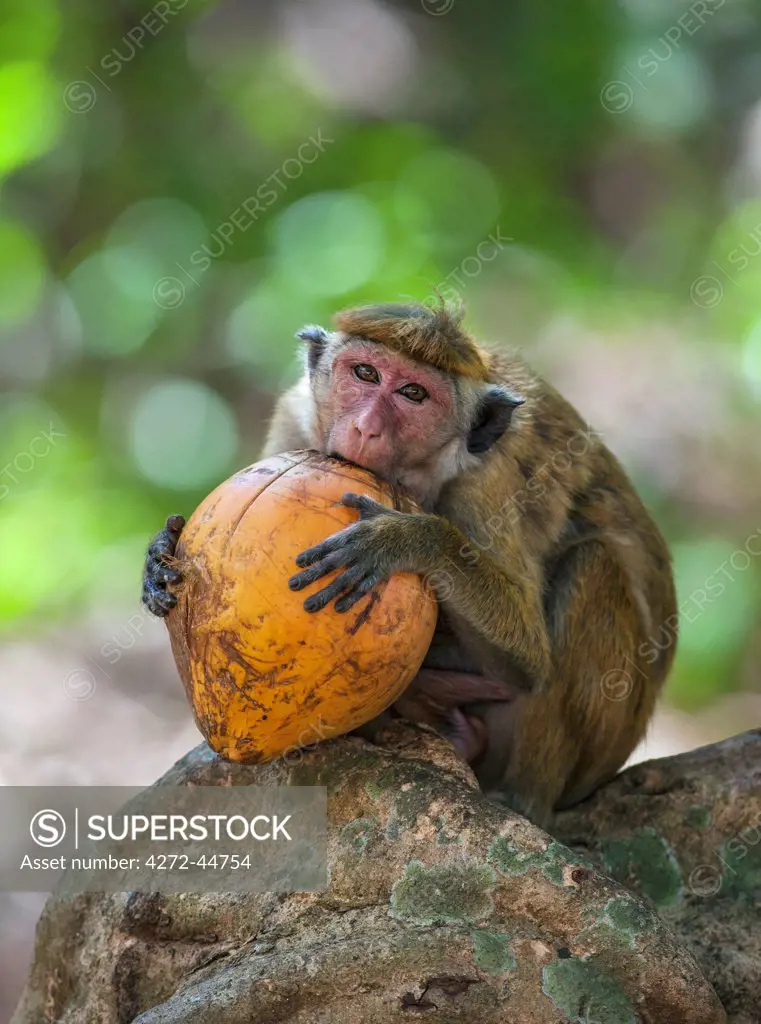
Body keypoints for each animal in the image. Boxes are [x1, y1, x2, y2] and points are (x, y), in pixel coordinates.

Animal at [143, 301, 680, 823]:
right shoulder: (296, 414)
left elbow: (529, 659)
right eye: (364, 373)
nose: (366, 427)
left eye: (414, 394)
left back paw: (525, 800)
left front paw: (404, 539)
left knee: (593, 562)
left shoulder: (490, 480)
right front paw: (158, 557)